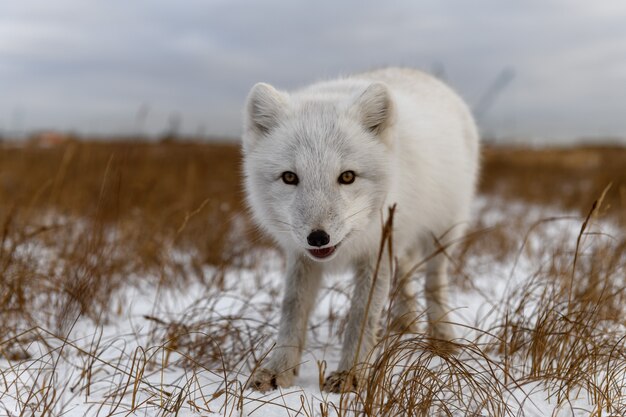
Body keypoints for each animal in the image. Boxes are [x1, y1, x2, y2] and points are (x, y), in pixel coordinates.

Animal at [239, 66, 478, 392]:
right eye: (289, 177)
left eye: (347, 176)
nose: (318, 238)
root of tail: (420, 73)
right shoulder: (300, 257)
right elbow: (292, 311)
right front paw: (279, 371)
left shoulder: (375, 251)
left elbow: (361, 316)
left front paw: (350, 375)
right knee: (406, 273)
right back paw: (405, 322)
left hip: (442, 233)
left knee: (433, 284)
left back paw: (442, 336)